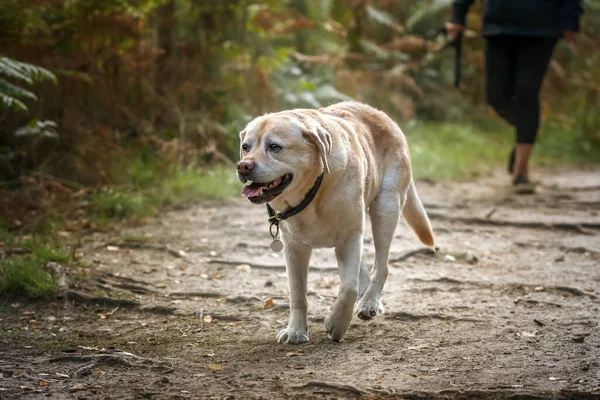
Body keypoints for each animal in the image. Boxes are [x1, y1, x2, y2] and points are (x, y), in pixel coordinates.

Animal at [237, 102, 434, 344]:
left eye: (274, 147)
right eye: (245, 147)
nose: (243, 166)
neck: (313, 193)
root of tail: (380, 114)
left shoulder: (350, 238)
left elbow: (348, 287)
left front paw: (337, 323)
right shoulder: (293, 247)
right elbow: (297, 292)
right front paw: (295, 331)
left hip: (386, 207)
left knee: (381, 266)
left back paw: (369, 302)